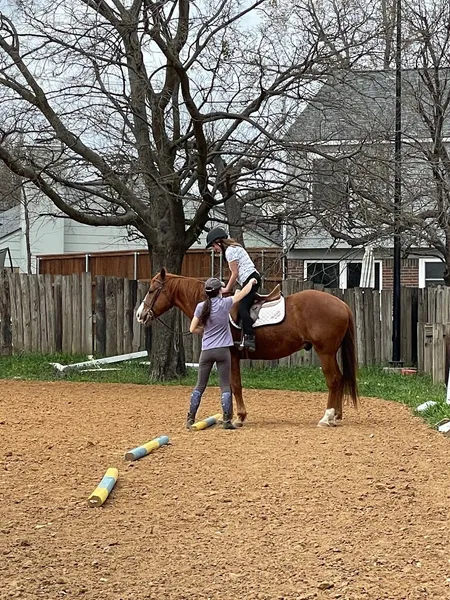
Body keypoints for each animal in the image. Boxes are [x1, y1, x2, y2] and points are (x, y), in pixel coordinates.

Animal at [137, 270, 358, 428]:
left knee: (333, 380)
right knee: (339, 378)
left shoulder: (231, 355)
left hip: (325, 352)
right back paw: (336, 415)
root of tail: (342, 305)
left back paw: (327, 417)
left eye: (152, 290)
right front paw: (230, 416)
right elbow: (230, 385)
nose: (140, 315)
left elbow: (235, 385)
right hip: (330, 353)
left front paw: (239, 417)